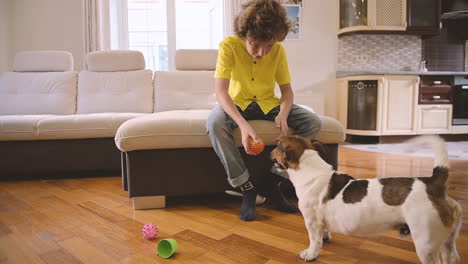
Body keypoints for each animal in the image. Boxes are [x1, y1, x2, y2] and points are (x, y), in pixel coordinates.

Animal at [270, 135, 460, 262]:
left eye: (278, 146)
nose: (270, 150)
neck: (310, 169)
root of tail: (433, 183)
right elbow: (323, 233)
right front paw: (326, 237)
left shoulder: (311, 221)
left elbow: (314, 241)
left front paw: (311, 254)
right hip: (447, 243)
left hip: (425, 243)